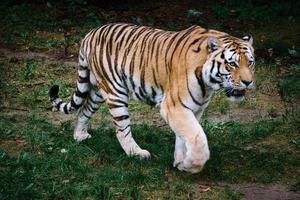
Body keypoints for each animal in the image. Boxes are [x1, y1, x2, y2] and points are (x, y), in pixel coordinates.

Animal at [49, 22, 255, 173]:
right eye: (232, 64)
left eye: (250, 63)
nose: (248, 82)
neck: (208, 84)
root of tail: (90, 33)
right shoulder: (174, 106)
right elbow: (197, 138)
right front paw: (192, 165)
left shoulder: (193, 109)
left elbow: (185, 137)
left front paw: (180, 163)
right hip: (115, 92)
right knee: (121, 129)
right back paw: (137, 153)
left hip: (98, 92)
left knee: (83, 110)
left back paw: (80, 136)